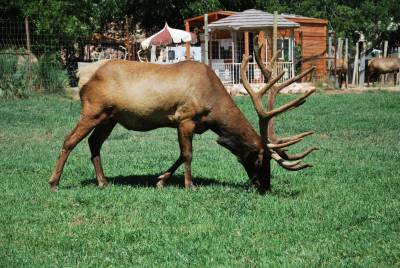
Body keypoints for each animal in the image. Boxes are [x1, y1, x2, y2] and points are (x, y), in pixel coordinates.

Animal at [50, 34, 318, 192]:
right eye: (261, 159)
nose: (265, 186)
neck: (213, 108)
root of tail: (82, 76)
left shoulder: (192, 125)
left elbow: (180, 154)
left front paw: (161, 179)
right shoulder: (185, 118)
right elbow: (188, 155)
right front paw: (190, 185)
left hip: (110, 117)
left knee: (94, 143)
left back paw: (102, 181)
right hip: (93, 110)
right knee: (69, 140)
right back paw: (54, 182)